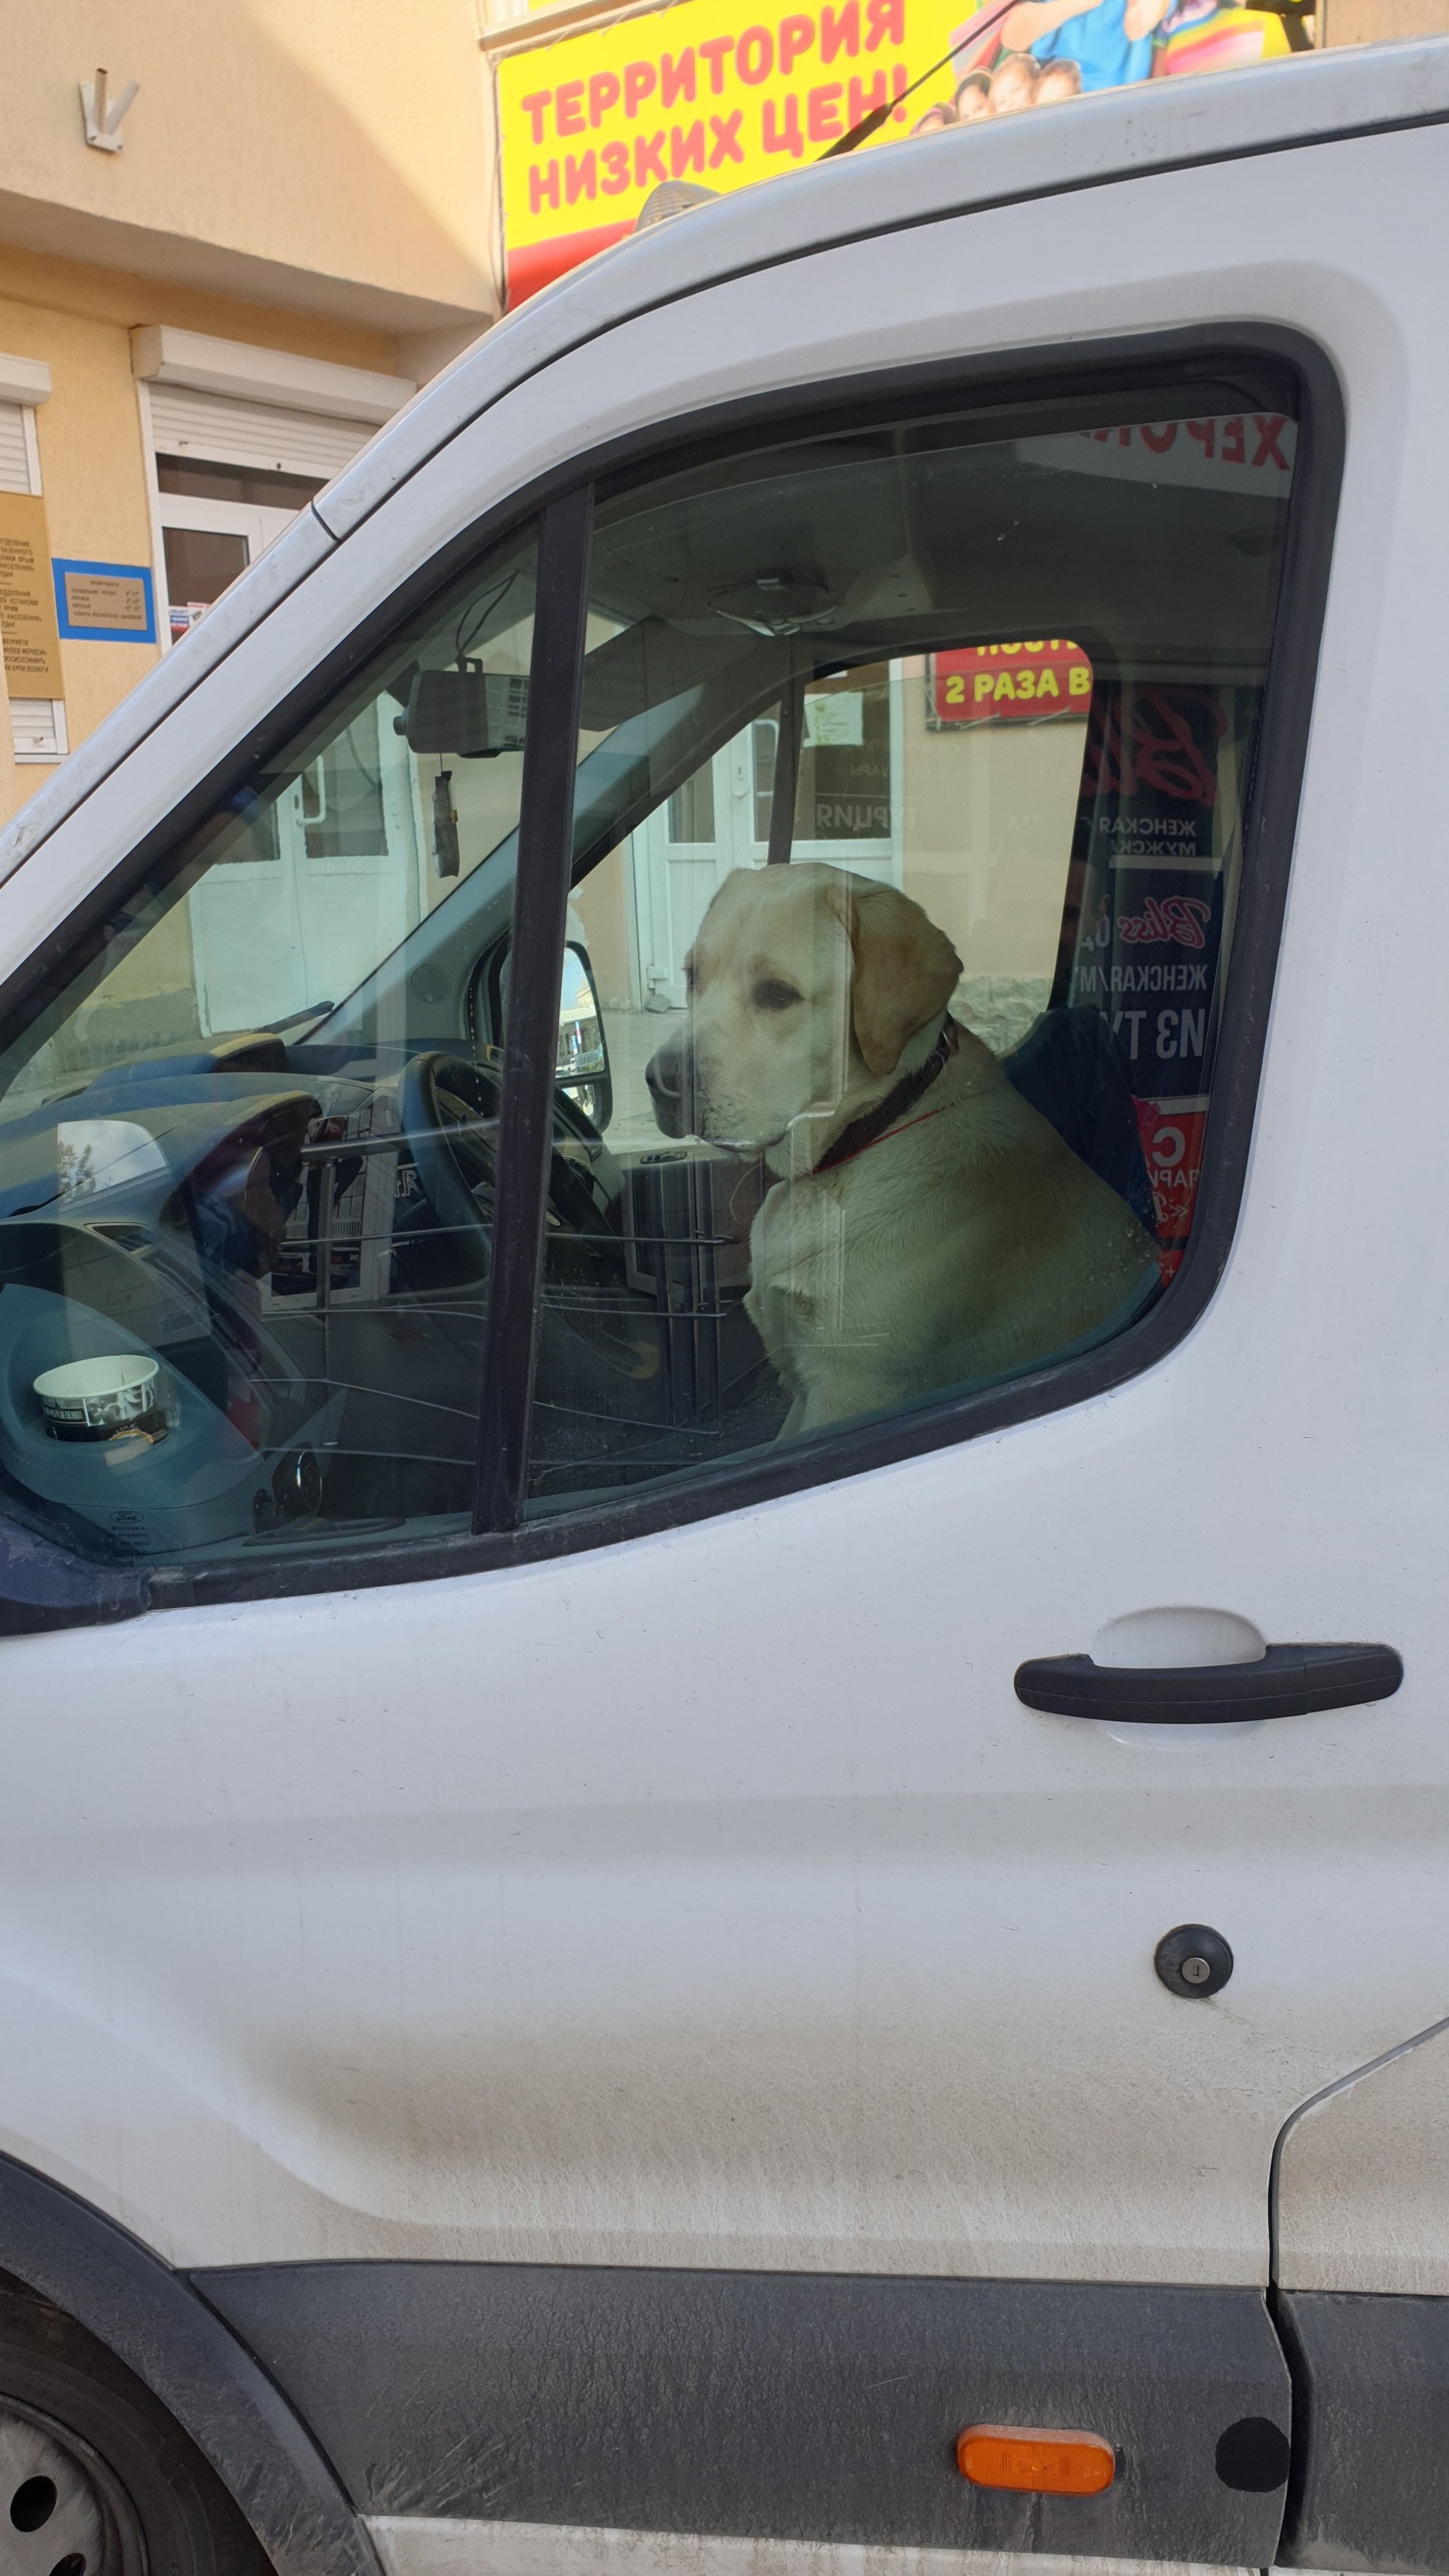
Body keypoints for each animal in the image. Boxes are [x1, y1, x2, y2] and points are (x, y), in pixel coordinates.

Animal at [646, 860, 1158, 1432]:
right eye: (692, 975)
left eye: (777, 994)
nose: (661, 1080)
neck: (872, 1128)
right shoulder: (804, 1388)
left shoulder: (848, 1390)